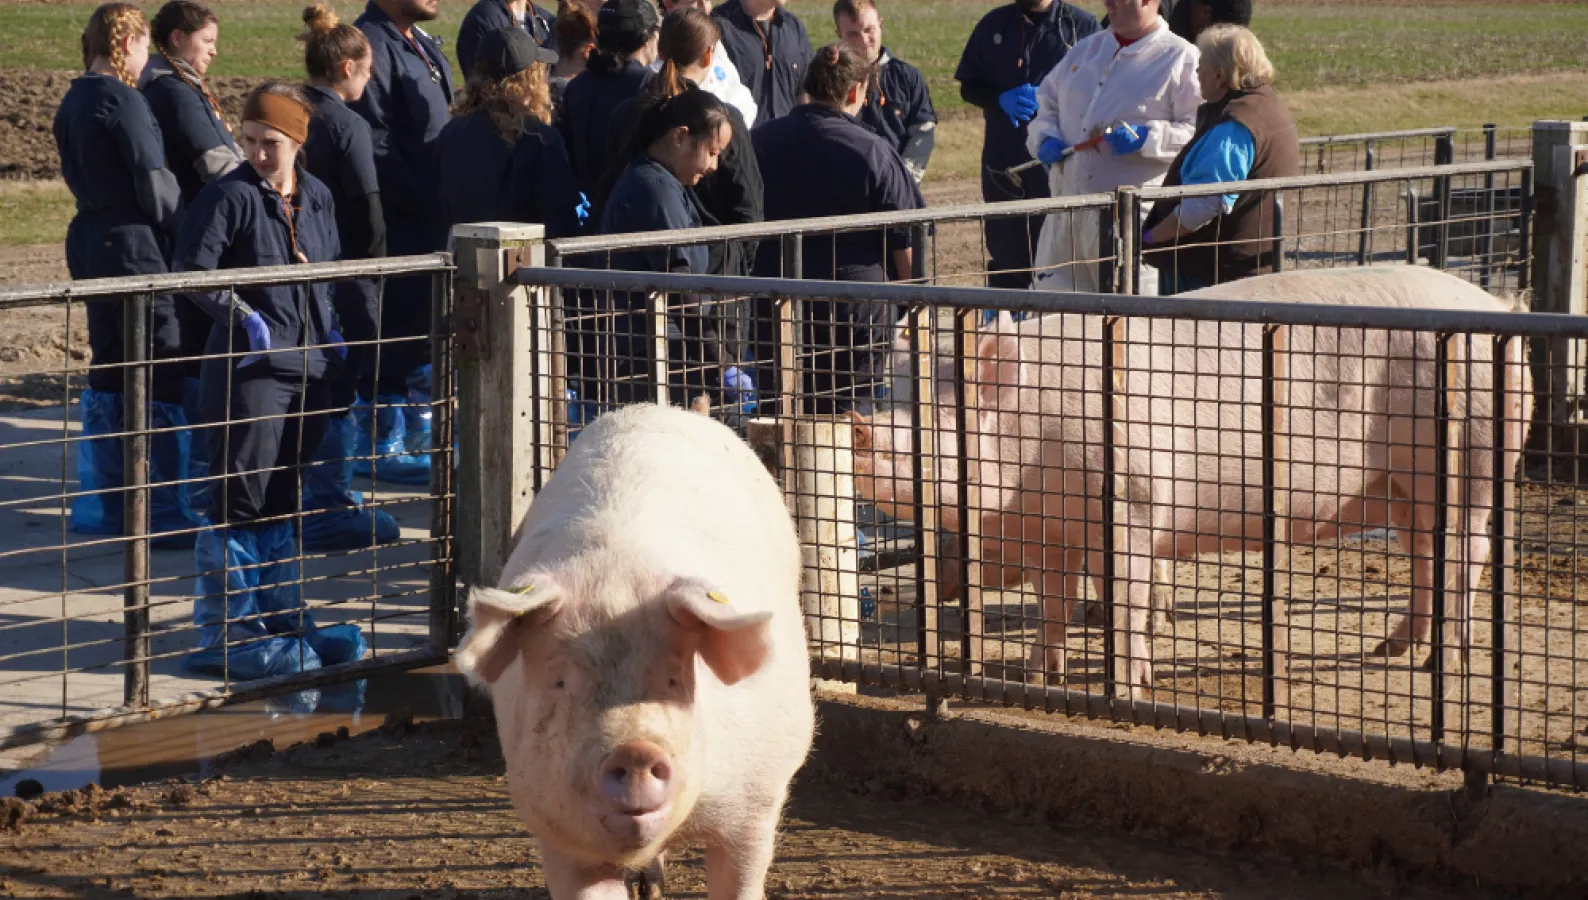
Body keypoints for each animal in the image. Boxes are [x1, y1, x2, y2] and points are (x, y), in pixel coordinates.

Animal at [454, 409, 813, 900]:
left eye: (674, 680)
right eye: (560, 682)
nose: (636, 751)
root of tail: (660, 409)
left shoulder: (757, 800)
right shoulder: (553, 828)